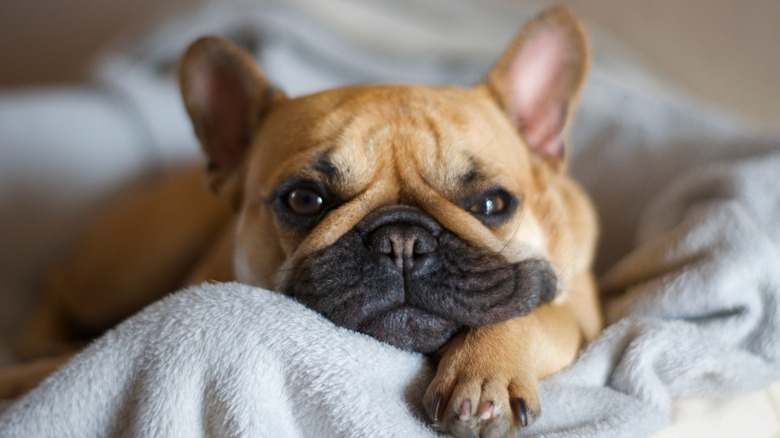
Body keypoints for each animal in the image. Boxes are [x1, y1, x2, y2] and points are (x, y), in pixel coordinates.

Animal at [3, 7, 600, 438]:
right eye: (304, 200)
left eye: (492, 204)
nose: (402, 241)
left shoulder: (583, 314)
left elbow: (534, 312)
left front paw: (486, 373)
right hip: (124, 271)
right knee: (58, 286)